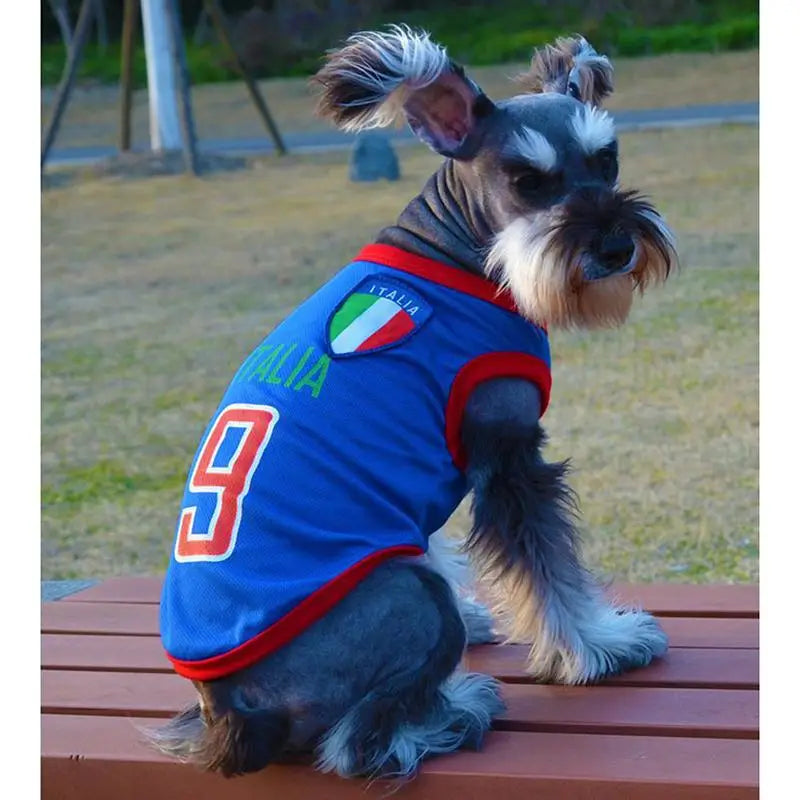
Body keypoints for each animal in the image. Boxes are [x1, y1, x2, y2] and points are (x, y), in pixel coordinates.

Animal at [147, 23, 680, 780]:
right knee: (356, 743)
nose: (614, 245)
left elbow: (442, 545)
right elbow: (549, 566)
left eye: (606, 159)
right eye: (527, 180)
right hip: (410, 598)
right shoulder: (508, 453)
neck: (456, 252)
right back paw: (457, 710)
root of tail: (229, 713)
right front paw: (599, 646)